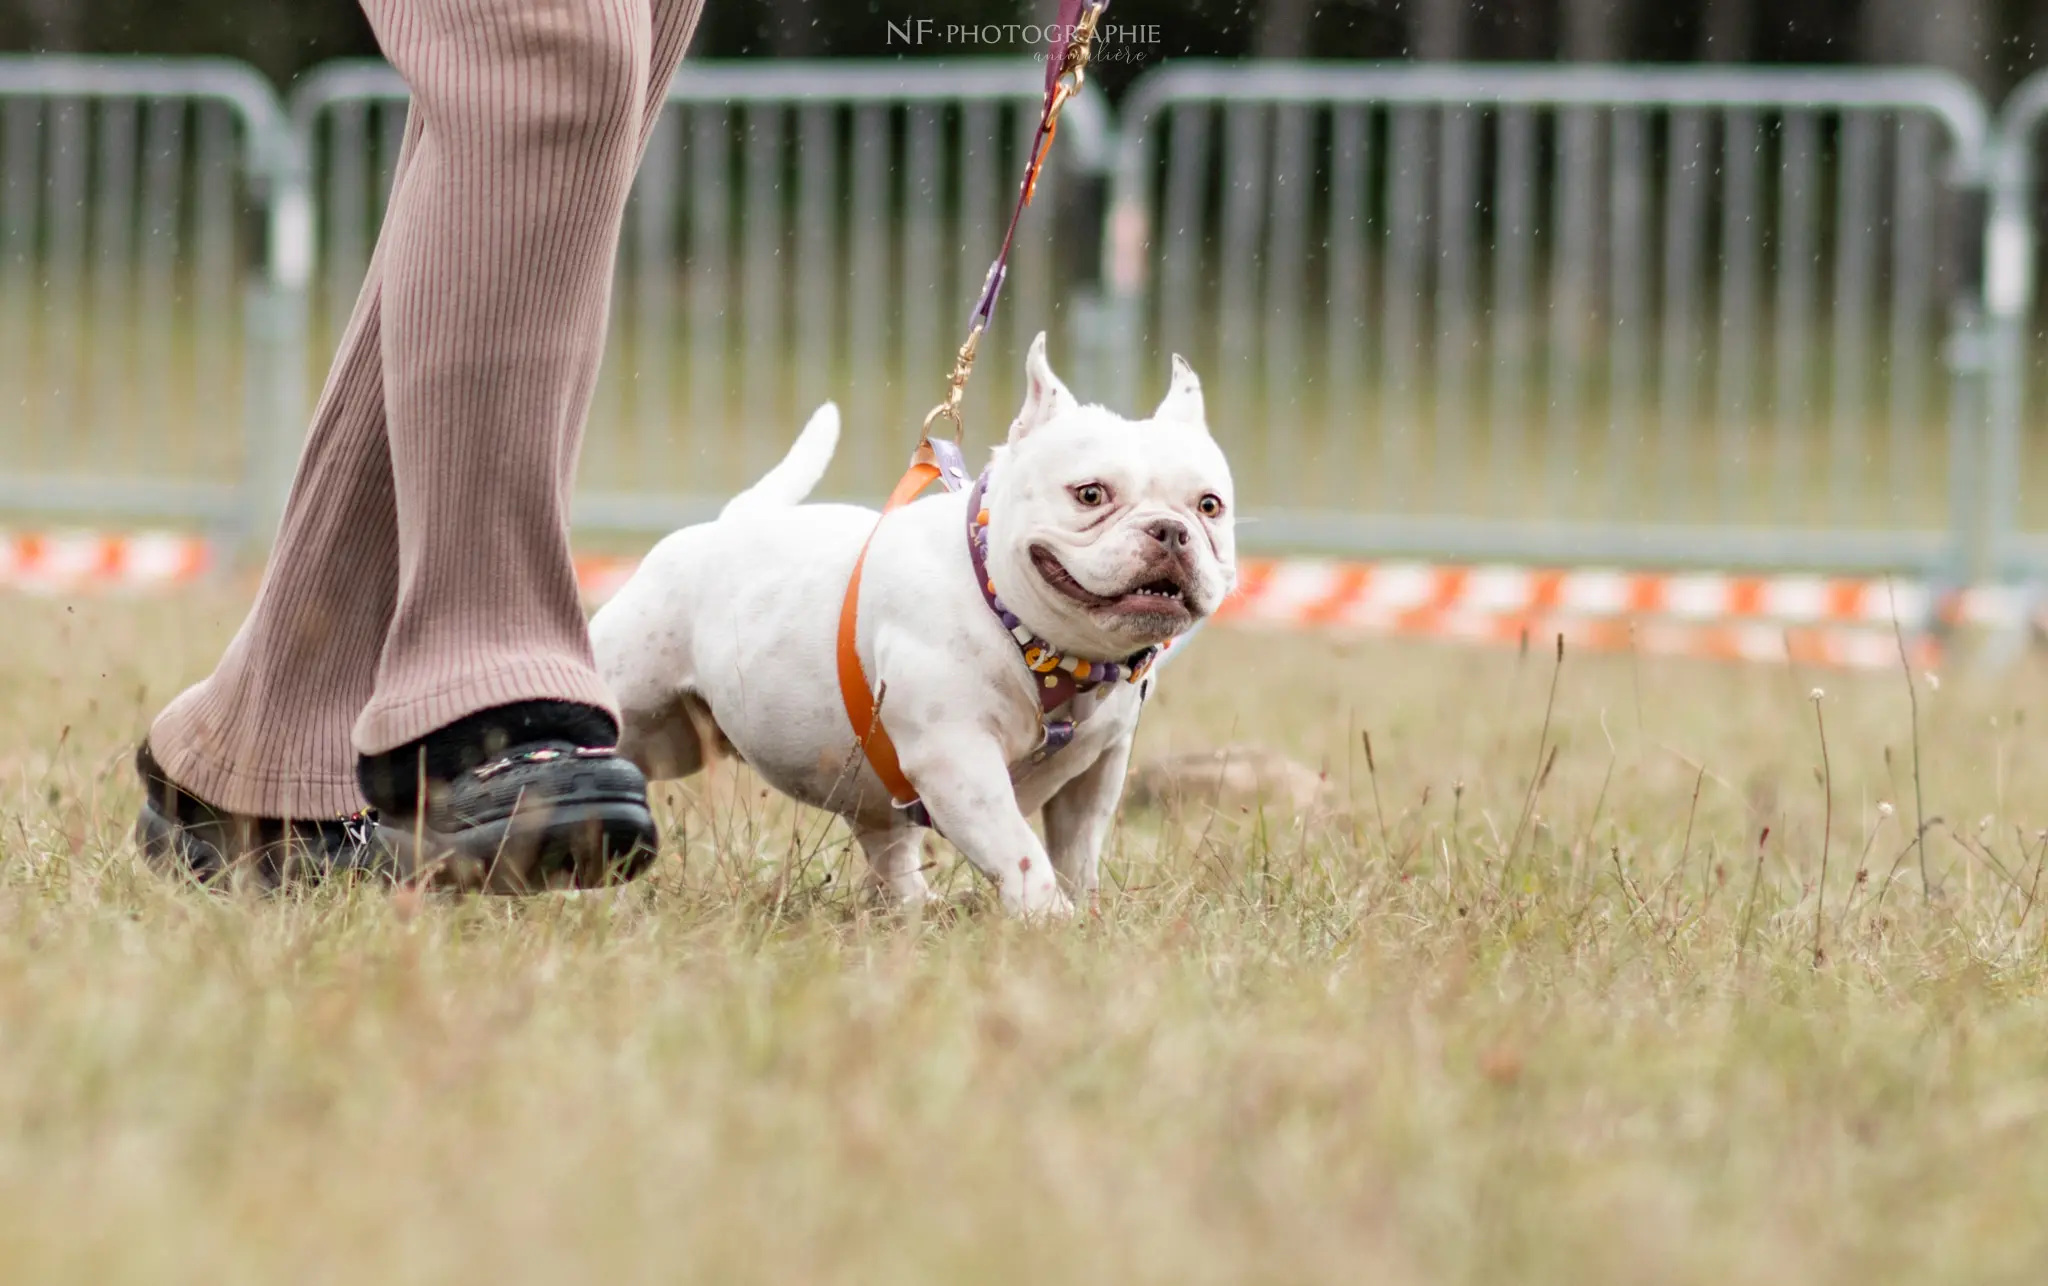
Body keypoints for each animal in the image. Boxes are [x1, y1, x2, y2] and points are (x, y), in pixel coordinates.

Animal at [593, 331, 1228, 913]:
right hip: (638, 703)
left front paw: (1083, 913)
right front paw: (1052, 920)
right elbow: (1022, 853)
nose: (1170, 530)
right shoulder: (959, 763)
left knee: (887, 844)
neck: (1044, 645)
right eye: (1091, 494)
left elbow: (1075, 851)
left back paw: (911, 909)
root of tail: (726, 523)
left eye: (1209, 505)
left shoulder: (1095, 772)